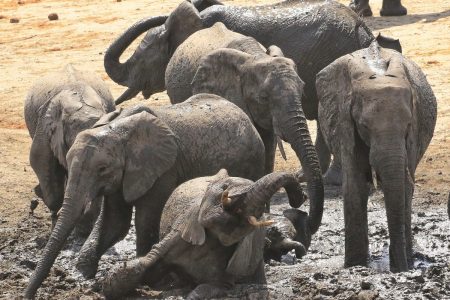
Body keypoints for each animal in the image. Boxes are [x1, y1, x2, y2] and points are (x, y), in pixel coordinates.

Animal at [101, 170, 306, 298]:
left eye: (260, 211)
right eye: (225, 186)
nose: (299, 198)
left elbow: (216, 286)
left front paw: (190, 292)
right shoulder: (183, 227)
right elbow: (145, 263)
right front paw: (110, 285)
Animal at [314, 39, 438, 272]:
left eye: (408, 125)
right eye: (364, 126)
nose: (401, 269)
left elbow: (404, 185)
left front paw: (403, 265)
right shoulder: (345, 122)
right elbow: (355, 184)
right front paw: (355, 266)